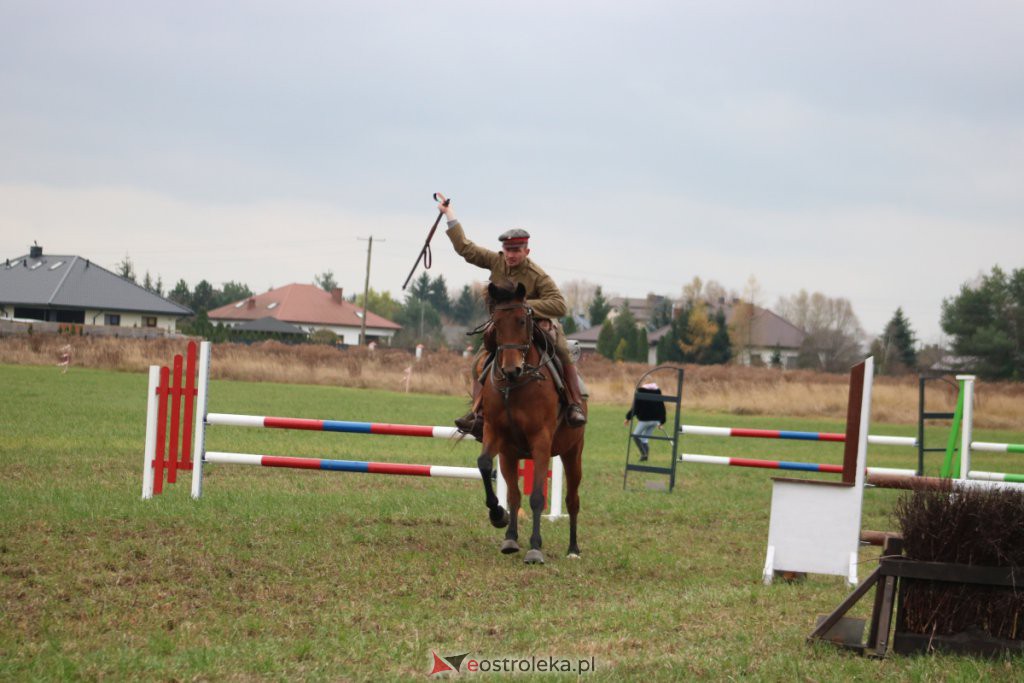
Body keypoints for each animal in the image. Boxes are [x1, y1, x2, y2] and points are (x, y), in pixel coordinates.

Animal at [473, 280, 585, 565]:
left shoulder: (541, 442)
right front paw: (500, 519)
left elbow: (536, 496)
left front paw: (535, 547)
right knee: (514, 493)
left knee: (572, 500)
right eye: (496, 324)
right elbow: (489, 470)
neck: (515, 386)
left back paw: (573, 548)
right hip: (513, 454)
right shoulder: (498, 438)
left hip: (572, 454)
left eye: (523, 321)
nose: (511, 369)